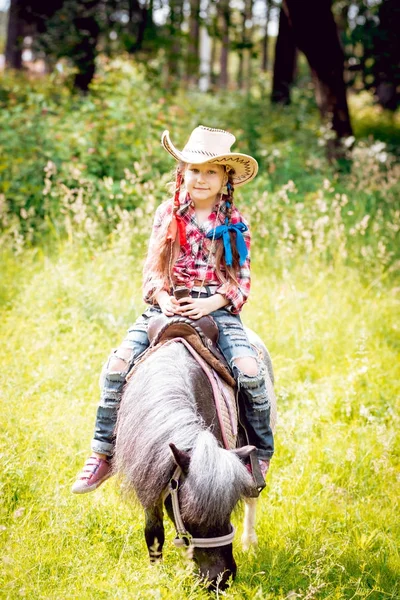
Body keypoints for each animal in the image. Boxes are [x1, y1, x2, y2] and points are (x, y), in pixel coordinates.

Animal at [112, 330, 276, 588]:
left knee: (253, 498)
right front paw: (155, 574)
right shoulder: (148, 479)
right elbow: (153, 532)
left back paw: (250, 544)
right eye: (189, 519)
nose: (220, 580)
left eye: (228, 511)